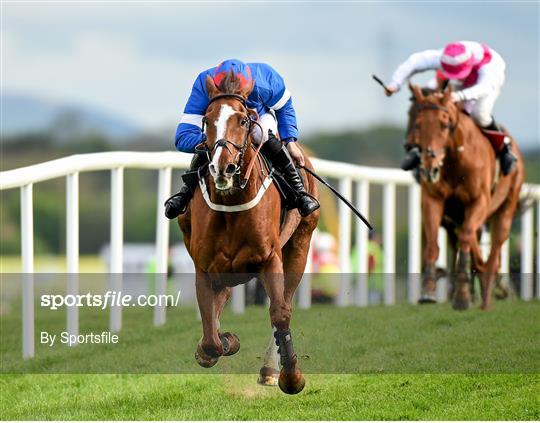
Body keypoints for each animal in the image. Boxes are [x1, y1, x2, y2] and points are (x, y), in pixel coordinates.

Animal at [177, 74, 320, 396]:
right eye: (207, 120)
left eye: (243, 120)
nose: (222, 166)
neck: (231, 202)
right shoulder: (205, 267)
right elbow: (210, 337)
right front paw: (225, 342)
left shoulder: (270, 259)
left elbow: (280, 313)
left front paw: (291, 377)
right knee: (221, 302)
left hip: (300, 246)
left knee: (285, 302)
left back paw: (270, 369)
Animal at [410, 84, 524, 310]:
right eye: (417, 124)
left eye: (444, 125)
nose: (428, 168)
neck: (455, 160)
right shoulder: (433, 200)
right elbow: (433, 244)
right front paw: (428, 291)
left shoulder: (478, 201)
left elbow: (467, 237)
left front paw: (462, 296)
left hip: (506, 208)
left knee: (495, 247)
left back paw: (487, 296)